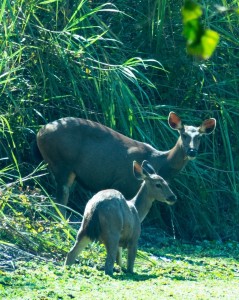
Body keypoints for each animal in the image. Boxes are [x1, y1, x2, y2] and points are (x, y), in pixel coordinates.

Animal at [36, 111, 217, 210]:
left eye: (199, 137)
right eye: (183, 134)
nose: (192, 151)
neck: (159, 161)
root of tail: (40, 132)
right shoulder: (123, 182)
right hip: (61, 163)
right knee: (61, 199)